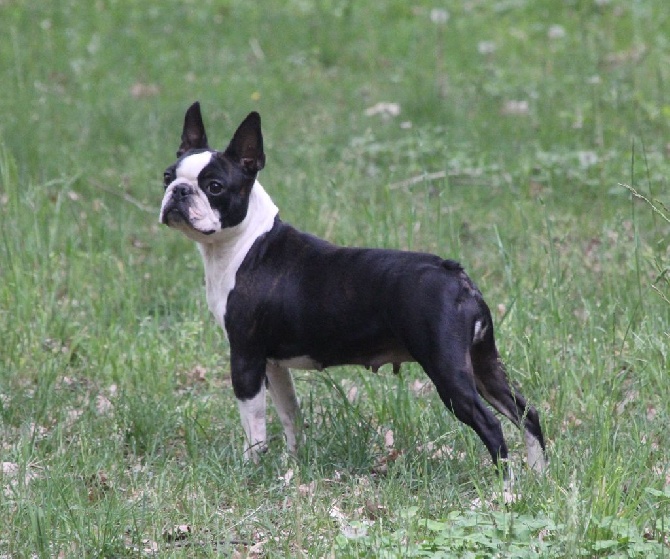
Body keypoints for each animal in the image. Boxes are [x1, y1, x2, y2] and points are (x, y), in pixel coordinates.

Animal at [160, 103, 548, 474]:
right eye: (167, 176)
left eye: (214, 187)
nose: (178, 191)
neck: (245, 244)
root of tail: (456, 276)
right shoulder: (273, 364)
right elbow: (291, 415)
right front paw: (294, 463)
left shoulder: (244, 357)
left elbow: (254, 427)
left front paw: (250, 470)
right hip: (484, 365)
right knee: (527, 412)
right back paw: (538, 476)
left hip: (447, 370)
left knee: (491, 425)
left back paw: (505, 487)